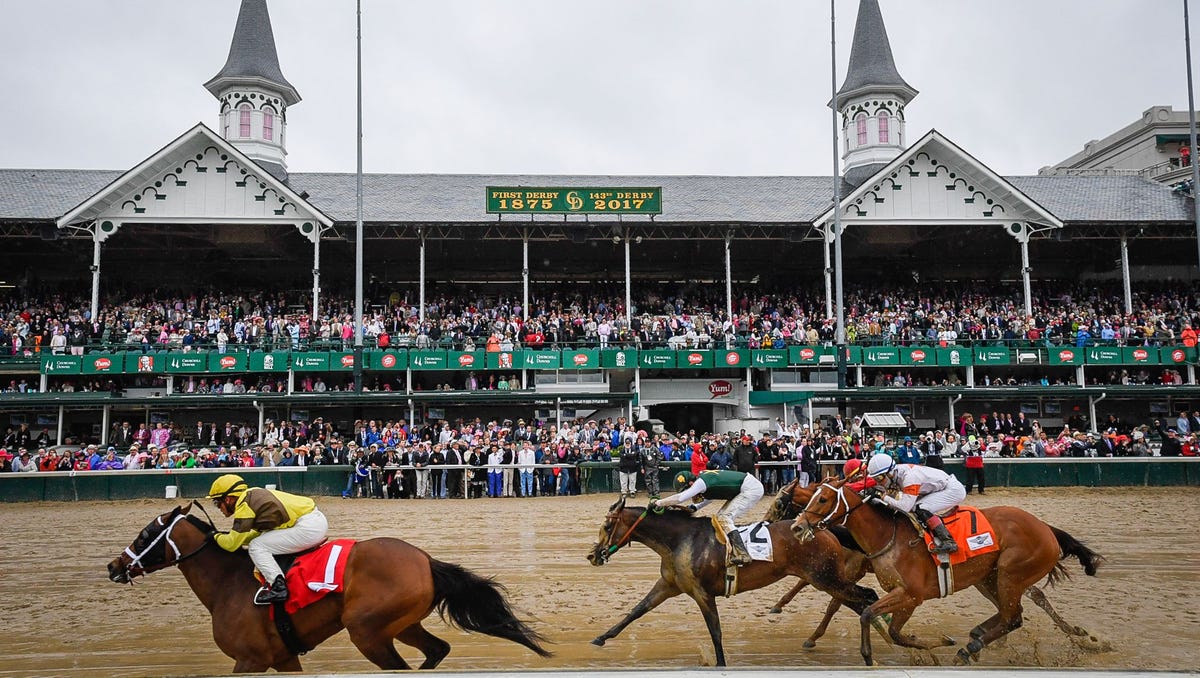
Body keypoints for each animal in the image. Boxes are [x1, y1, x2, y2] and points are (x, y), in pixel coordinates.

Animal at [107, 502, 551, 672]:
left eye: (146, 532)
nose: (114, 566)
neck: (227, 585)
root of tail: (425, 560)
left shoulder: (250, 660)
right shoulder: (284, 658)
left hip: (367, 631)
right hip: (402, 624)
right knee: (436, 650)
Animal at [586, 496, 881, 666]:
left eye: (608, 526)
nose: (593, 555)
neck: (680, 540)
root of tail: (823, 530)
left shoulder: (702, 592)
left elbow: (715, 631)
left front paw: (720, 664)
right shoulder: (669, 585)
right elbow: (636, 611)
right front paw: (601, 637)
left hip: (825, 577)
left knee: (866, 597)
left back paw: (873, 652)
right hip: (826, 578)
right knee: (858, 602)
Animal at [791, 478, 1104, 666]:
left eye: (822, 500)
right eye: (810, 498)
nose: (796, 526)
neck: (887, 536)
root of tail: (1045, 528)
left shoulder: (911, 596)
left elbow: (881, 622)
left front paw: (873, 655)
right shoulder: (896, 592)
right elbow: (880, 621)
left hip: (1010, 573)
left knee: (1014, 616)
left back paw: (971, 647)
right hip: (988, 577)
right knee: (1011, 612)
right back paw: (978, 636)